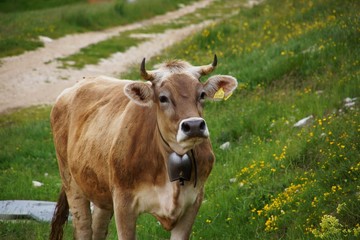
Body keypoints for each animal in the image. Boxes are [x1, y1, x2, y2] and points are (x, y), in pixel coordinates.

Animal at [49, 55, 238, 239]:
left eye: (202, 94)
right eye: (163, 98)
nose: (194, 126)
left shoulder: (193, 202)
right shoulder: (123, 204)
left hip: (101, 192)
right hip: (72, 184)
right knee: (83, 229)